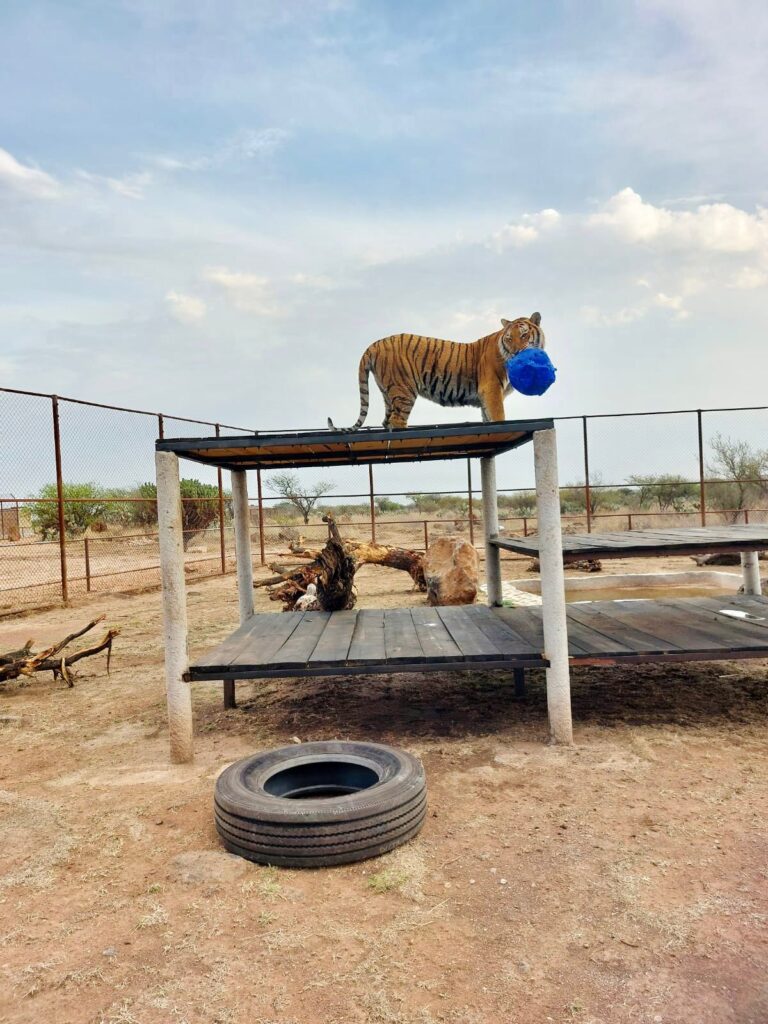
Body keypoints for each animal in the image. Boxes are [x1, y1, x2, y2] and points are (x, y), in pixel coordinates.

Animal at [327, 307, 544, 428]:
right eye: (509, 338)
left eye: (524, 335)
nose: (516, 353)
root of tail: (375, 344)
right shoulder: (491, 390)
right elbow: (499, 418)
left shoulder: (486, 397)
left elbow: (487, 418)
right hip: (404, 390)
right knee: (397, 421)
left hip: (388, 392)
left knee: (386, 421)